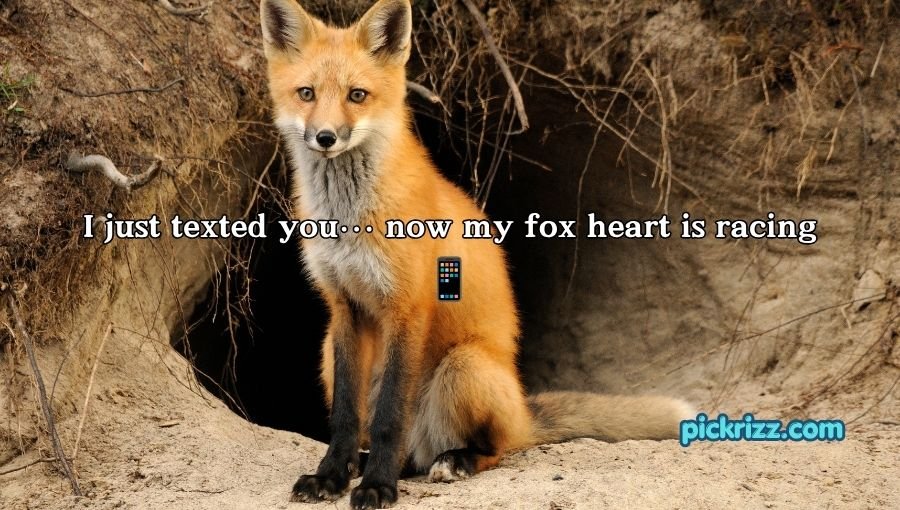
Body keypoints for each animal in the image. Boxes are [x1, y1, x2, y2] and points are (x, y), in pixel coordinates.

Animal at [259, 0, 694, 508]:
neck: (349, 219)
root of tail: (522, 409)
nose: (326, 137)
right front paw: (331, 476)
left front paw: (378, 487)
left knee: (494, 448)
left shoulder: (408, 306)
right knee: (407, 448)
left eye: (357, 95)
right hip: (328, 350)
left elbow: (388, 418)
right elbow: (347, 417)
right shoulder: (344, 307)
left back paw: (452, 461)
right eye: (306, 93)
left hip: (464, 366)